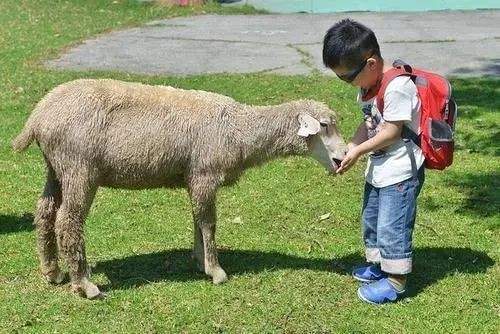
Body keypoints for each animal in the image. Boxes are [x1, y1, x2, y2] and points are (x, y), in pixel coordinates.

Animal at [12, 79, 348, 298]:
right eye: (325, 126)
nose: (345, 155)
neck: (239, 129)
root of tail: (38, 116)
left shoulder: (193, 178)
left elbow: (197, 220)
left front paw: (200, 261)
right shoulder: (204, 174)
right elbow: (209, 223)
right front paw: (216, 270)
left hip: (56, 167)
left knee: (44, 213)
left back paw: (52, 272)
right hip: (79, 168)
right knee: (67, 222)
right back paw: (84, 284)